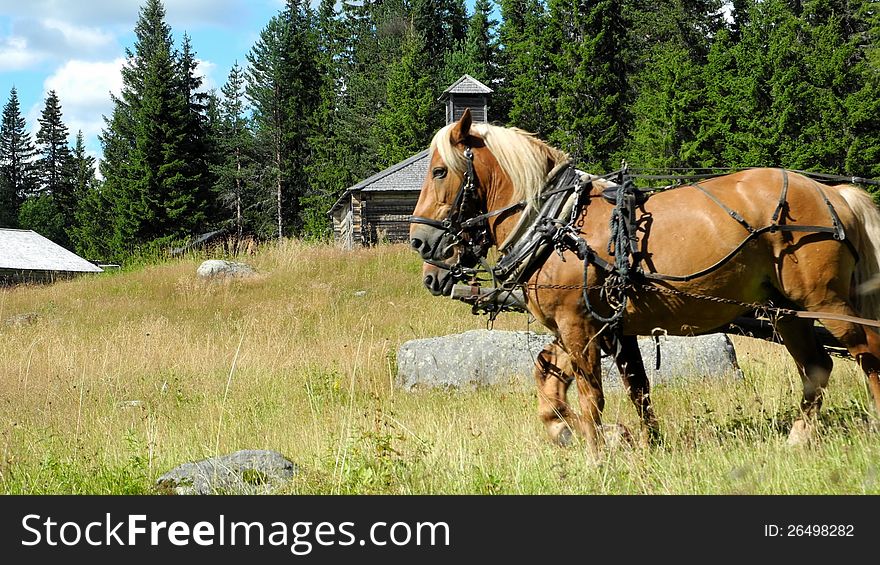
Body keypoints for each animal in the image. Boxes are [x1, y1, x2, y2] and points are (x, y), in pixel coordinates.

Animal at [410, 109, 880, 454]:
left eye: (439, 172)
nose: (419, 241)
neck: (558, 224)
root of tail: (833, 194)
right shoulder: (598, 328)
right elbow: (583, 380)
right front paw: (588, 433)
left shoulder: (579, 325)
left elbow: (592, 396)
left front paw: (598, 451)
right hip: (786, 310)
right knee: (817, 366)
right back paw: (797, 438)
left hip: (824, 302)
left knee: (865, 352)